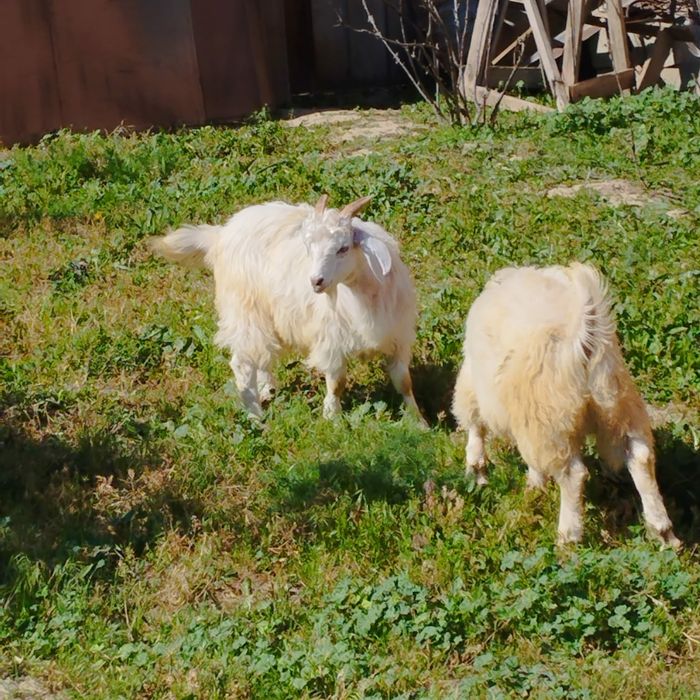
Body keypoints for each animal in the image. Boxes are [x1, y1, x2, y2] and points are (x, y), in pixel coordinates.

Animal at [151, 194, 424, 422]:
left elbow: (404, 382)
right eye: (309, 247)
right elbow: (337, 383)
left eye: (344, 248)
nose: (315, 281)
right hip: (244, 310)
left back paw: (267, 389)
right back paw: (255, 418)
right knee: (242, 363)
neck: (362, 296)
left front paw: (419, 422)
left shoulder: (399, 338)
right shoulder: (331, 340)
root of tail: (221, 235)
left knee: (262, 355)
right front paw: (332, 418)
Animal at [451, 262, 680, 547]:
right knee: (640, 457)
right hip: (620, 407)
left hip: (551, 423)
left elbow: (475, 426)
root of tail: (587, 337)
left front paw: (479, 471)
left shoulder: (480, 389)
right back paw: (663, 532)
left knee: (573, 475)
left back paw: (567, 537)